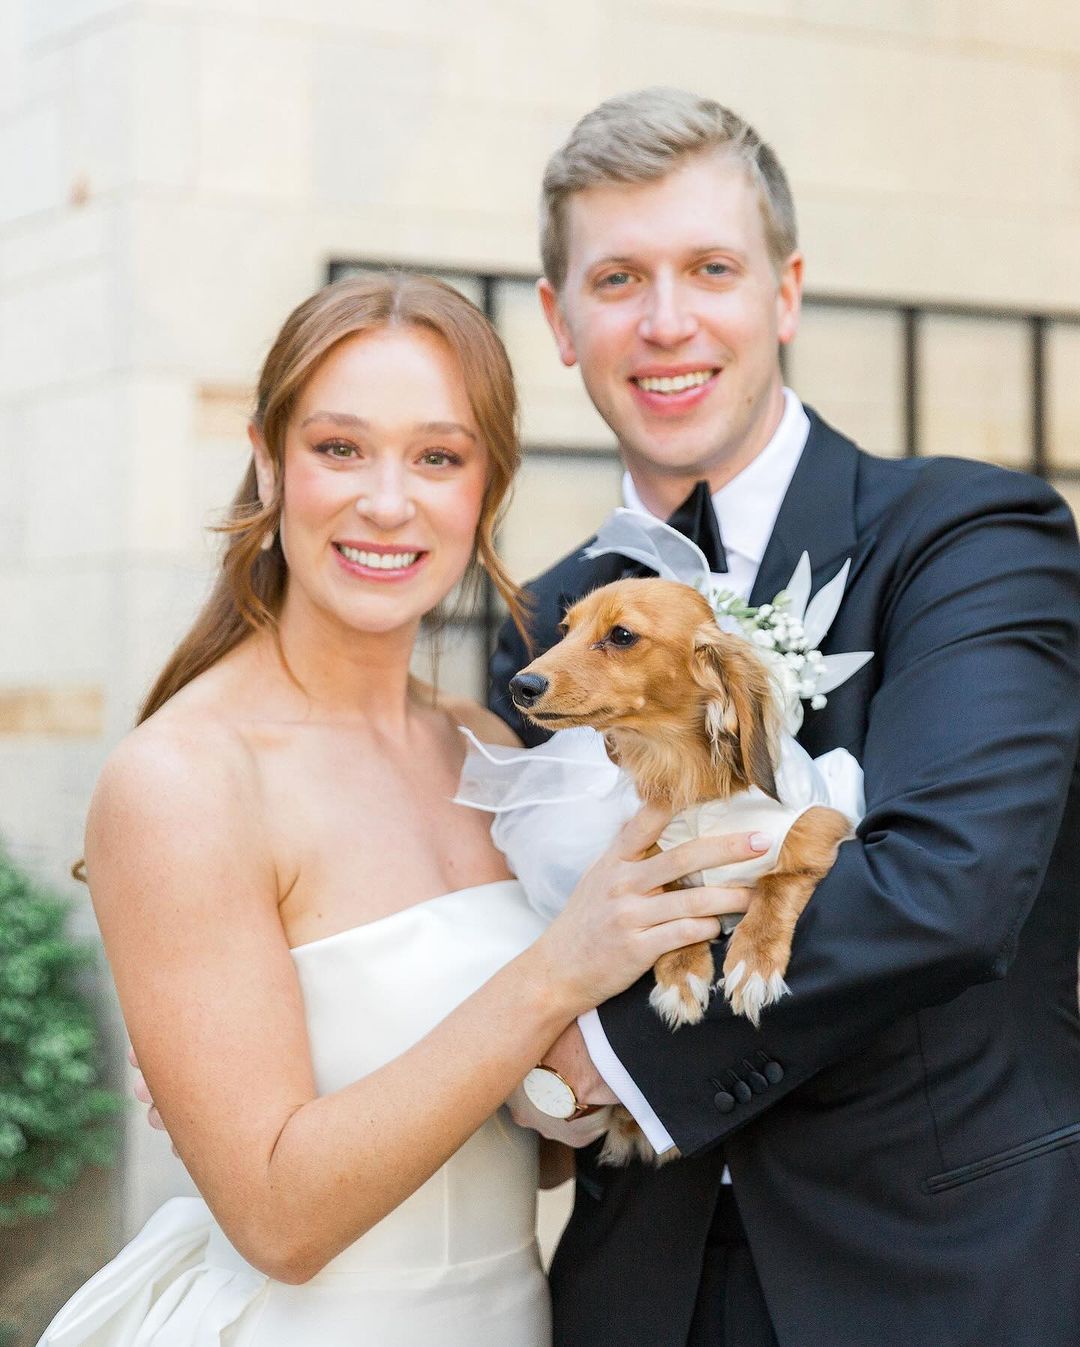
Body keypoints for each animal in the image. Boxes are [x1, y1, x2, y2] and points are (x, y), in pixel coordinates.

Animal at [506, 584, 851, 1163]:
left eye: (622, 635)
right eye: (566, 630)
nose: (520, 686)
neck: (686, 776)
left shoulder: (821, 823)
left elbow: (779, 878)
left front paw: (754, 960)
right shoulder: (650, 854)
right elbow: (668, 901)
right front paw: (681, 972)